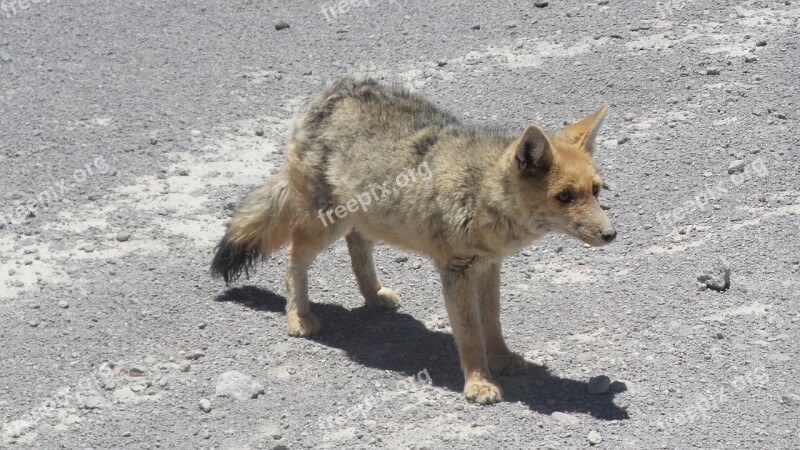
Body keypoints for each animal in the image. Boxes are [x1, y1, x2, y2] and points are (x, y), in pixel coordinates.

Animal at [209, 75, 616, 406]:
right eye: (565, 197)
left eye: (596, 191)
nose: (611, 234)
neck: (478, 192)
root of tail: (332, 92)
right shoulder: (457, 271)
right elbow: (470, 334)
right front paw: (478, 384)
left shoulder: (488, 266)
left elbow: (493, 322)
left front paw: (501, 358)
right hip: (323, 225)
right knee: (293, 256)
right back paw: (299, 316)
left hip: (362, 218)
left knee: (358, 245)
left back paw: (373, 295)